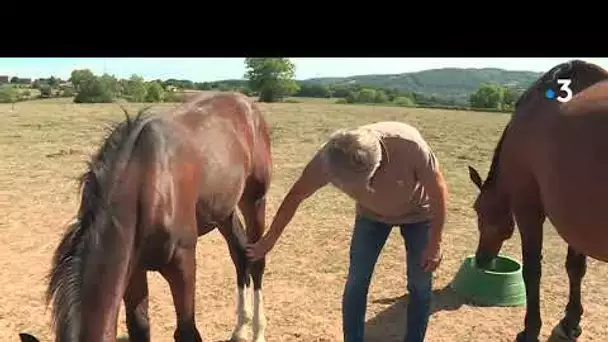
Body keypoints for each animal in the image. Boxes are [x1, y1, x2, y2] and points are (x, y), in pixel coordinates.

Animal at [20, 92, 274, 342]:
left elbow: (187, 331)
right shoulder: (133, 271)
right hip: (223, 210)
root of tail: (247, 104)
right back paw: (240, 329)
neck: (147, 186)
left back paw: (258, 332)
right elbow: (139, 326)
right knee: (240, 254)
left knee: (257, 259)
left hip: (254, 200)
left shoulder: (182, 265)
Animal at [470, 59, 608, 342]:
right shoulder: (575, 218)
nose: (480, 259)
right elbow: (575, 268)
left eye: (478, 211)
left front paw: (530, 329)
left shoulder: (528, 208)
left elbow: (532, 270)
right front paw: (570, 322)